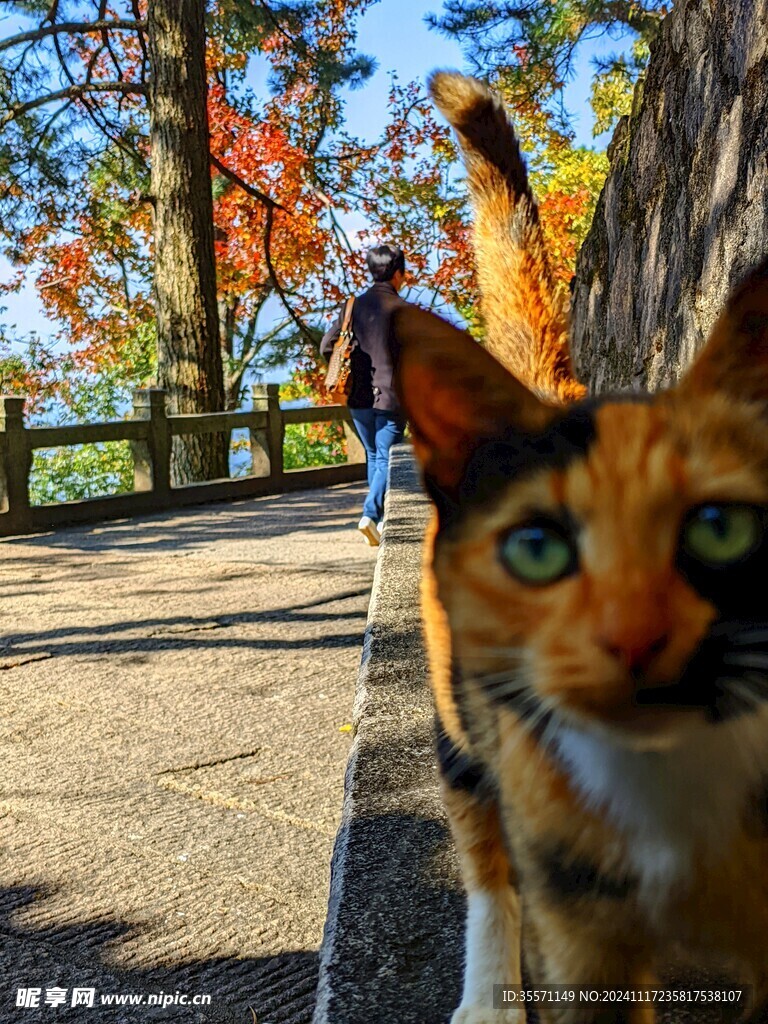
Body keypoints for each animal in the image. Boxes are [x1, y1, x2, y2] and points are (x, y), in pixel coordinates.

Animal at [393, 70, 768, 1024]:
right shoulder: (582, 924)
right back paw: (489, 995)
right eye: (540, 550)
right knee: (486, 863)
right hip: (462, 728)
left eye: (718, 529)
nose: (633, 636)